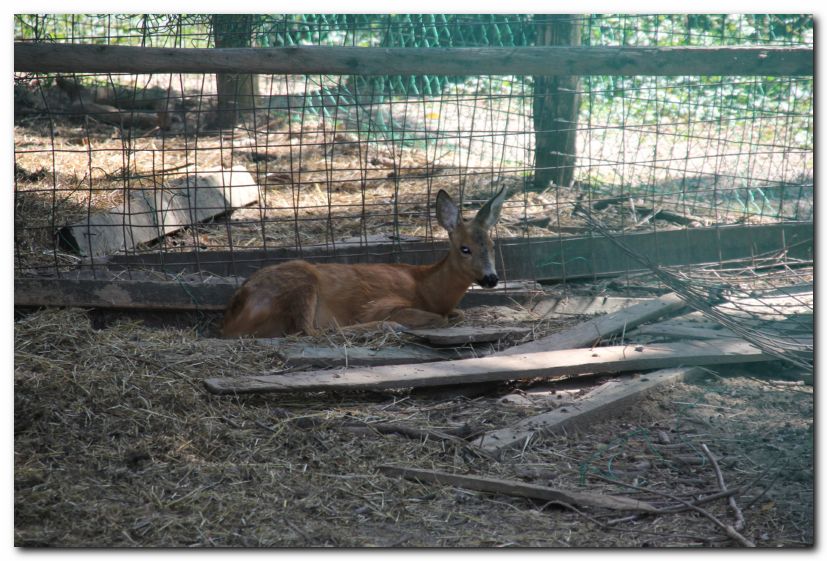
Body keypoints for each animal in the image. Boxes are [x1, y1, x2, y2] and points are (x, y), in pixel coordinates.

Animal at [220, 187, 508, 336]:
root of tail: (231, 318)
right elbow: (442, 319)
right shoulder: (384, 303)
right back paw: (387, 326)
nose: (491, 278)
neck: (428, 289)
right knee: (311, 331)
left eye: (493, 246)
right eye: (465, 249)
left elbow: (458, 314)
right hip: (301, 282)